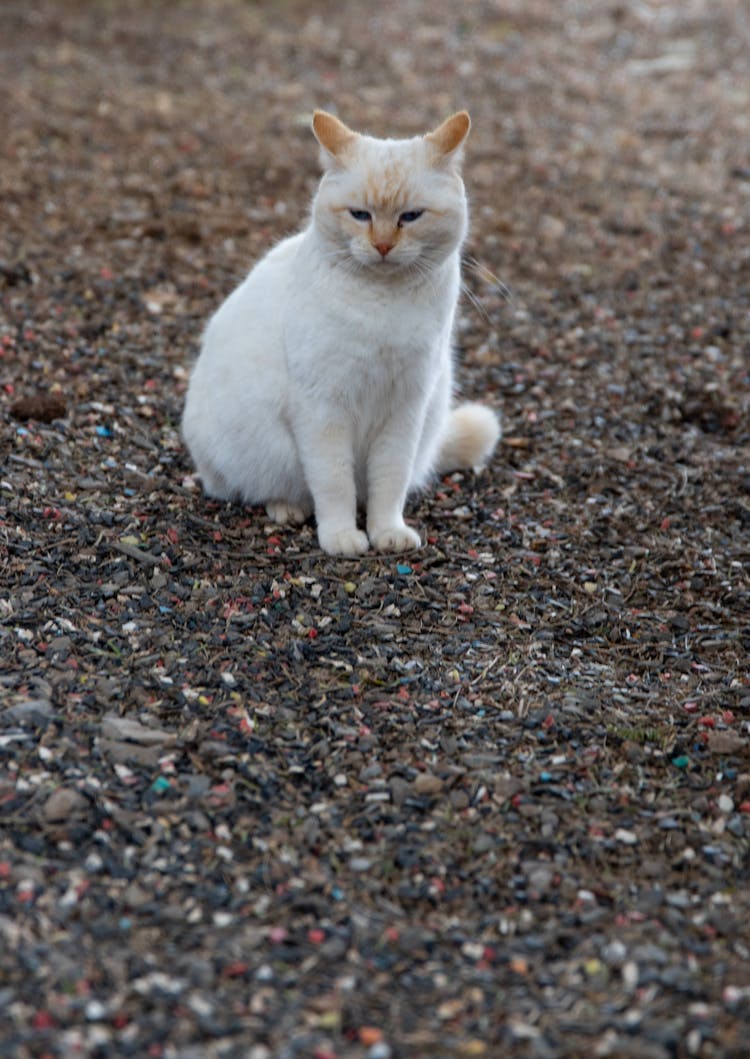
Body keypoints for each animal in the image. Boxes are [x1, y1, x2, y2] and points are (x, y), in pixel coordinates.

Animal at [181, 109, 497, 554]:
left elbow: (389, 483)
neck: (383, 304)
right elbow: (334, 484)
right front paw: (342, 538)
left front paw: (386, 533)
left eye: (411, 216)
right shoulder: (322, 410)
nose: (382, 246)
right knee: (262, 489)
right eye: (360, 215)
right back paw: (287, 508)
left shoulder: (405, 410)